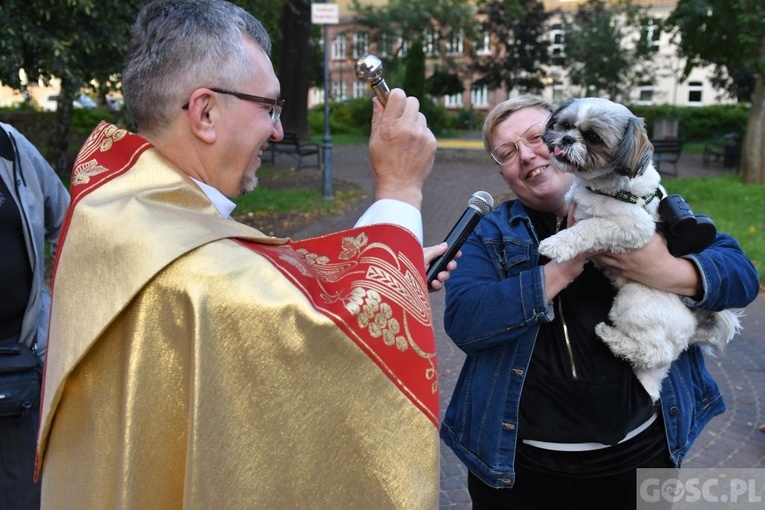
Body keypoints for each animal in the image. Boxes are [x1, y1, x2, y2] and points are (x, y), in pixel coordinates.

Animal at [536, 98, 740, 402]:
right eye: (565, 125)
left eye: (593, 137)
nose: (566, 139)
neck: (602, 188)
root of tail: (693, 325)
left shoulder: (634, 227)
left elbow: (589, 227)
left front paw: (557, 244)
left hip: (632, 302)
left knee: (653, 351)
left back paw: (611, 337)